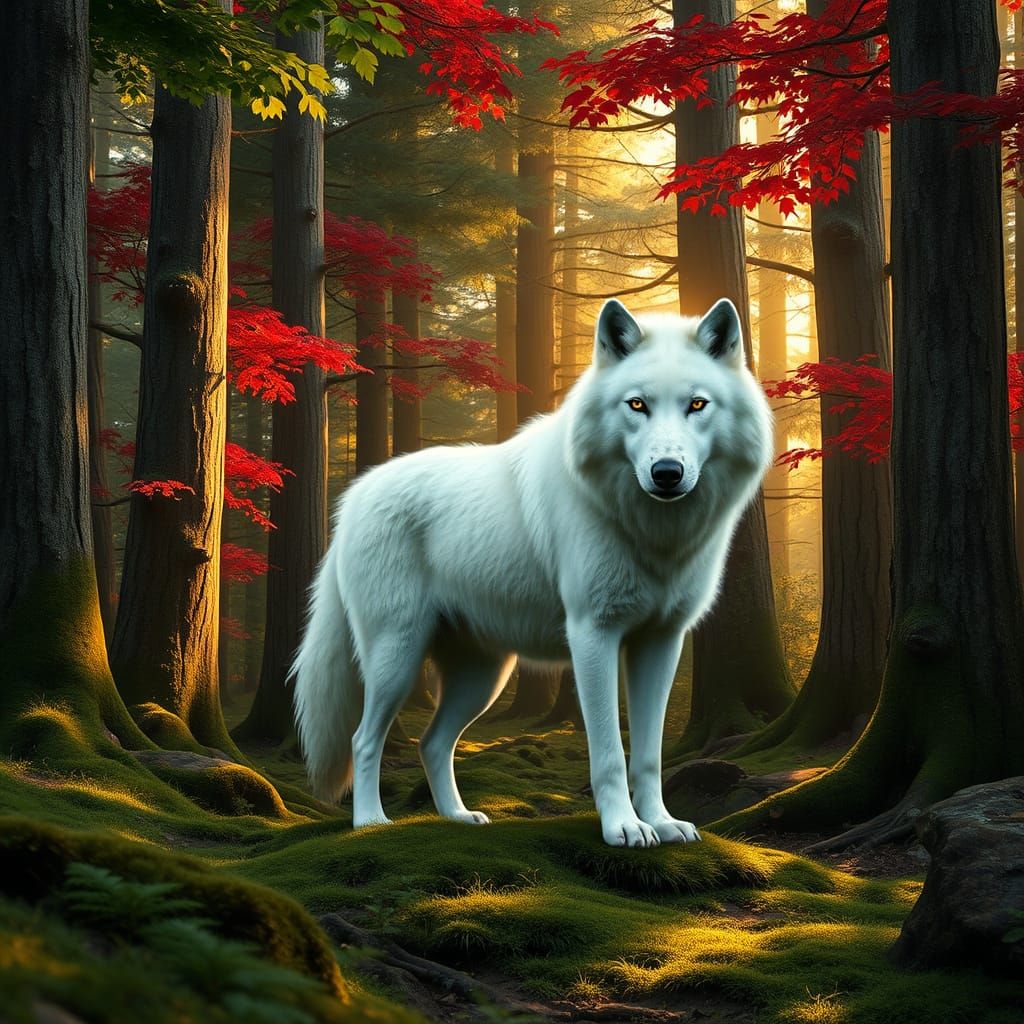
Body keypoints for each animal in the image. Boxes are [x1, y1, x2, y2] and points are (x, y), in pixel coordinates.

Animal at [292, 297, 773, 847]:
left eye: (697, 405)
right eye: (636, 405)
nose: (667, 473)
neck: (652, 532)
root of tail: (354, 496)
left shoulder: (661, 641)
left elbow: (649, 755)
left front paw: (662, 822)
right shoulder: (593, 634)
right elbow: (609, 753)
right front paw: (623, 828)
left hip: (482, 678)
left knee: (432, 743)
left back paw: (457, 817)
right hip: (397, 656)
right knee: (363, 738)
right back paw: (371, 822)